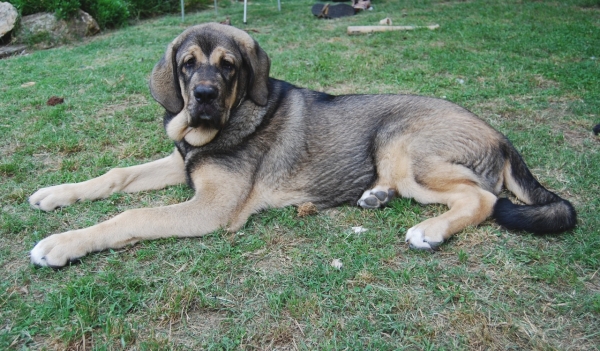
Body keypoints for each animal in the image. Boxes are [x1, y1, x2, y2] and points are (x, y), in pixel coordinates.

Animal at [29, 23, 576, 268]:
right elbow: (116, 176)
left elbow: (133, 215)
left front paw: (63, 243)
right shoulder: (181, 163)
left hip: (401, 145)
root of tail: (500, 135)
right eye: (187, 64)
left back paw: (430, 230)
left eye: (228, 66)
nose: (203, 97)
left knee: (481, 197)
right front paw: (55, 194)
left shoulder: (213, 206)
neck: (224, 124)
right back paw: (376, 195)